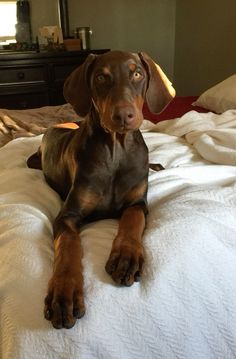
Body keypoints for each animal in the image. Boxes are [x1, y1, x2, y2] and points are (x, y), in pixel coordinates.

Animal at [27, 50, 175, 330]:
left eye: (137, 73)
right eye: (100, 77)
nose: (124, 116)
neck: (116, 150)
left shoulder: (138, 203)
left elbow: (132, 219)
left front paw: (126, 256)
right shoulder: (67, 215)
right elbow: (68, 245)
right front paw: (64, 292)